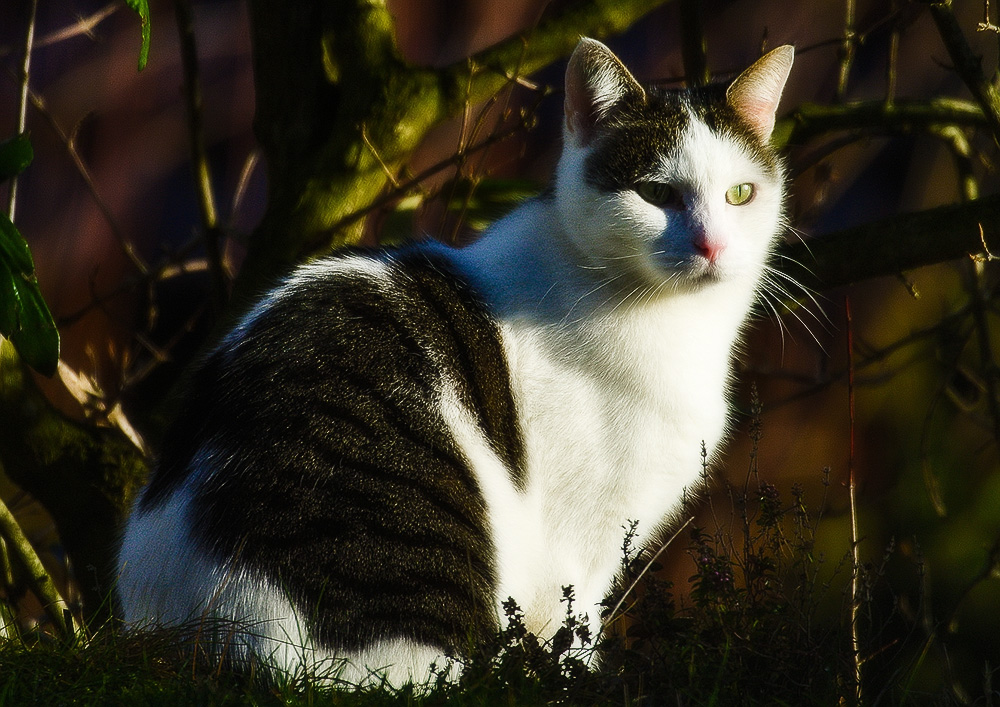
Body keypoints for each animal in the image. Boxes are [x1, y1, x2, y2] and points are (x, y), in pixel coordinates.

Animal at [117, 37, 792, 684]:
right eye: (655, 193)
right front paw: (583, 683)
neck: (676, 323)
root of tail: (197, 636)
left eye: (740, 194)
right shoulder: (577, 545)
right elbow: (573, 635)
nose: (712, 244)